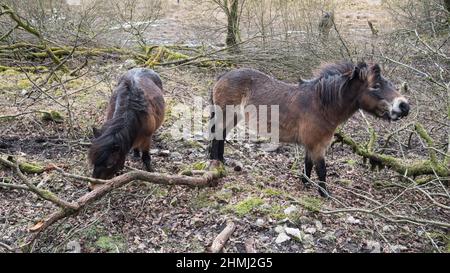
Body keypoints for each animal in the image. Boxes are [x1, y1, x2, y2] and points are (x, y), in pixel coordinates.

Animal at [209, 61, 410, 196]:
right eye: (376, 86)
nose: (404, 106)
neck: (321, 104)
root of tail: (223, 76)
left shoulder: (311, 145)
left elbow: (308, 165)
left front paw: (305, 184)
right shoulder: (317, 146)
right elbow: (321, 169)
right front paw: (324, 194)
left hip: (233, 118)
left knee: (220, 137)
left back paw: (221, 160)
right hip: (226, 115)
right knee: (218, 136)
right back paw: (217, 161)